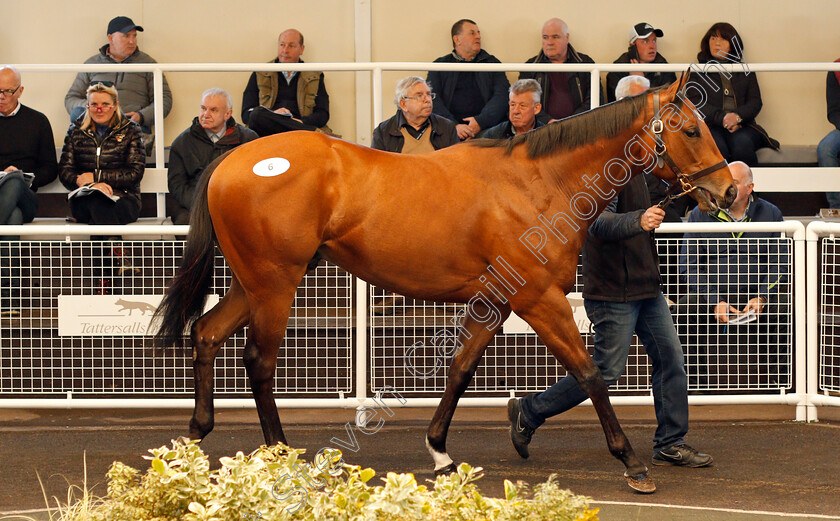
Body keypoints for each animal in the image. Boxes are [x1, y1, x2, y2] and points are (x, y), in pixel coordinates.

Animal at [153, 72, 736, 492]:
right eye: (690, 129)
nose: (729, 191)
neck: (537, 181)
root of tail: (233, 157)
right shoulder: (539, 299)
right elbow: (590, 374)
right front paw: (633, 463)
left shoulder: (497, 301)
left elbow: (460, 371)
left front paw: (440, 450)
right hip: (275, 283)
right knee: (258, 362)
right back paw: (280, 455)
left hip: (252, 282)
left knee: (206, 334)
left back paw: (198, 434)